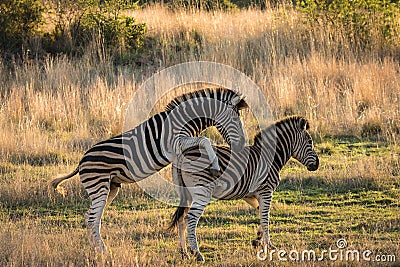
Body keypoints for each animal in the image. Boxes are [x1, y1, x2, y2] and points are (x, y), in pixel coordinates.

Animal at [51, 88, 248, 251]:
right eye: (235, 119)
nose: (241, 145)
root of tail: (81, 162)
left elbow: (203, 142)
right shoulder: (175, 143)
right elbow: (205, 139)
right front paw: (215, 165)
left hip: (110, 188)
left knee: (90, 217)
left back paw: (94, 249)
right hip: (98, 186)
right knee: (92, 218)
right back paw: (102, 250)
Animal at [169, 115, 318, 262]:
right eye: (310, 142)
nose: (317, 164)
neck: (270, 158)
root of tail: (182, 155)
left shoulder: (250, 194)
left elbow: (261, 213)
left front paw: (257, 240)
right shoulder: (266, 191)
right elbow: (265, 217)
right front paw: (269, 245)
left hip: (187, 193)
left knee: (181, 219)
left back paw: (184, 253)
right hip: (202, 191)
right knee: (190, 218)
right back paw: (197, 253)